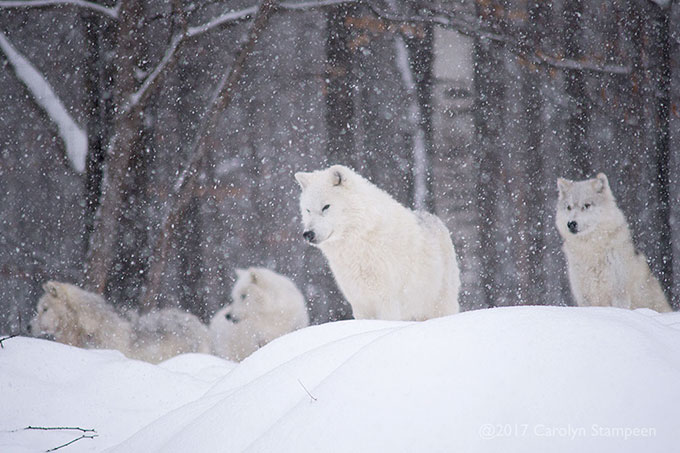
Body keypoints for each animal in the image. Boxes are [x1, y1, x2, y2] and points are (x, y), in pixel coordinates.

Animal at [294, 164, 460, 320]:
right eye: (308, 210)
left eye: (326, 207)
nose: (307, 234)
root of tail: (435, 218)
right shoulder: (359, 303)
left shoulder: (387, 301)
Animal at [556, 173, 672, 310]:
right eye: (569, 207)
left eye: (587, 205)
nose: (571, 224)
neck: (592, 251)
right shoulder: (584, 297)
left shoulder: (619, 294)